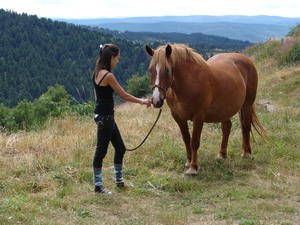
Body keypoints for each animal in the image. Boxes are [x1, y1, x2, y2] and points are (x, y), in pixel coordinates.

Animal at [145, 43, 264, 175]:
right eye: (150, 70)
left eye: (167, 70)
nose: (156, 100)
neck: (189, 82)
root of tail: (247, 60)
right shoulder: (178, 117)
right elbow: (186, 139)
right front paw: (188, 162)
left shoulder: (198, 116)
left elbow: (195, 141)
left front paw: (193, 168)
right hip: (224, 110)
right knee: (227, 127)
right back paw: (221, 155)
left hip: (247, 105)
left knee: (246, 126)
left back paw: (246, 154)